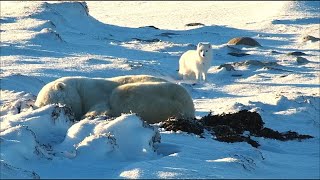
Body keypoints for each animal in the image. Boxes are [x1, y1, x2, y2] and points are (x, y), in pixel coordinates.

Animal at [35, 75, 195, 124]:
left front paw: (89, 114)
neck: (79, 89)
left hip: (156, 95)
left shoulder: (97, 94)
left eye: (49, 102)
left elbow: (101, 105)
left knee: (120, 94)